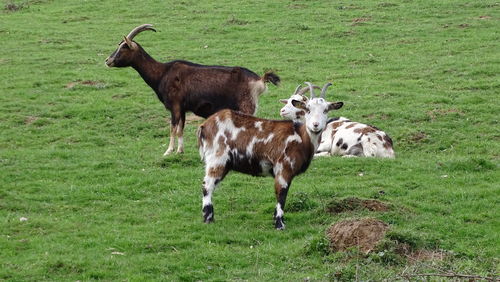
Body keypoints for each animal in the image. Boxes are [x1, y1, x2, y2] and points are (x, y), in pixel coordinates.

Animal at [104, 24, 282, 155]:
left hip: (246, 106)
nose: (108, 60)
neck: (162, 73)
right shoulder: (182, 108)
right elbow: (180, 129)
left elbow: (172, 128)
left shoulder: (174, 105)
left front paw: (168, 151)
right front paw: (180, 151)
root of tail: (260, 80)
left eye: (123, 47)